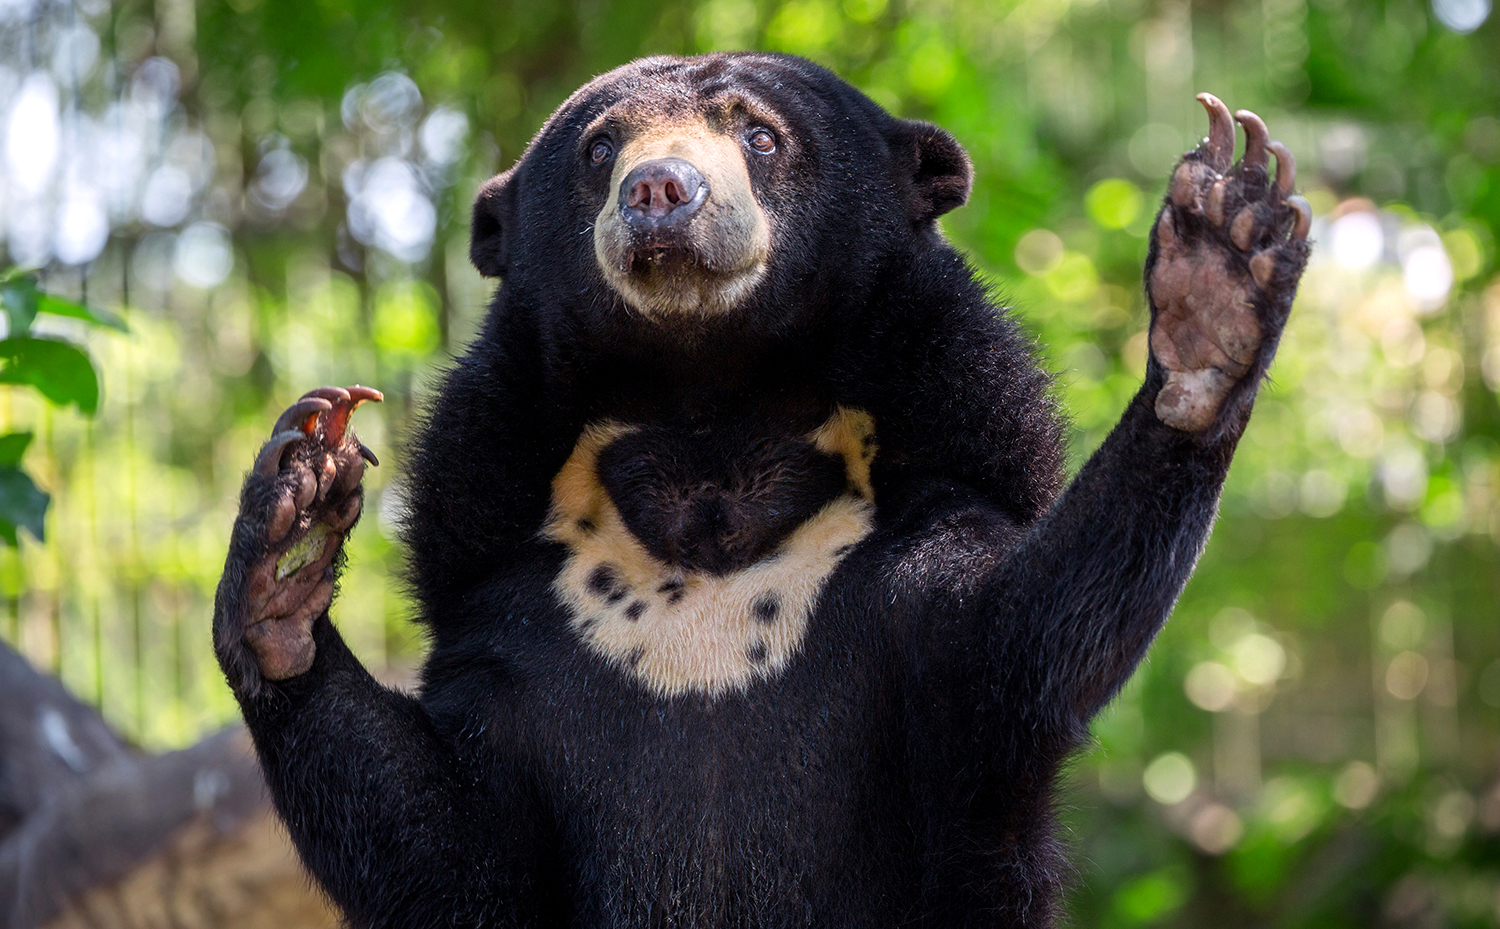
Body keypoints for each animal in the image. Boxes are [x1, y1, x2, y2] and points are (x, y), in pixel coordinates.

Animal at [214, 52, 1314, 929]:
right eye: (600, 149)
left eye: (760, 133)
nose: (661, 189)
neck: (712, 425)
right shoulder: (508, 599)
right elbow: (449, 844)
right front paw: (293, 517)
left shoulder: (929, 523)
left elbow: (1019, 638)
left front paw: (1219, 268)